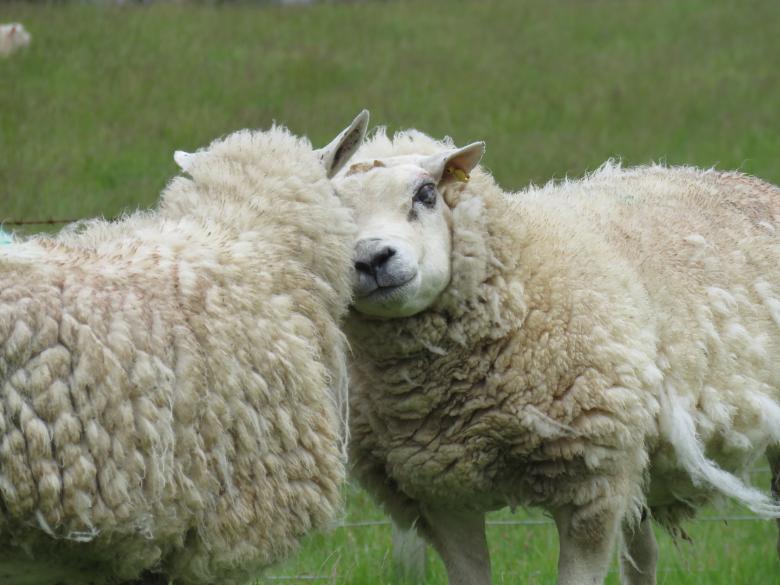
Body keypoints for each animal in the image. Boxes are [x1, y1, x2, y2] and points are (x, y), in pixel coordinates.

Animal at [333, 128, 780, 585]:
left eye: (425, 194)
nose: (372, 259)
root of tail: (740, 178)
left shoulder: (591, 486)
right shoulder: (440, 495)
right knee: (642, 555)